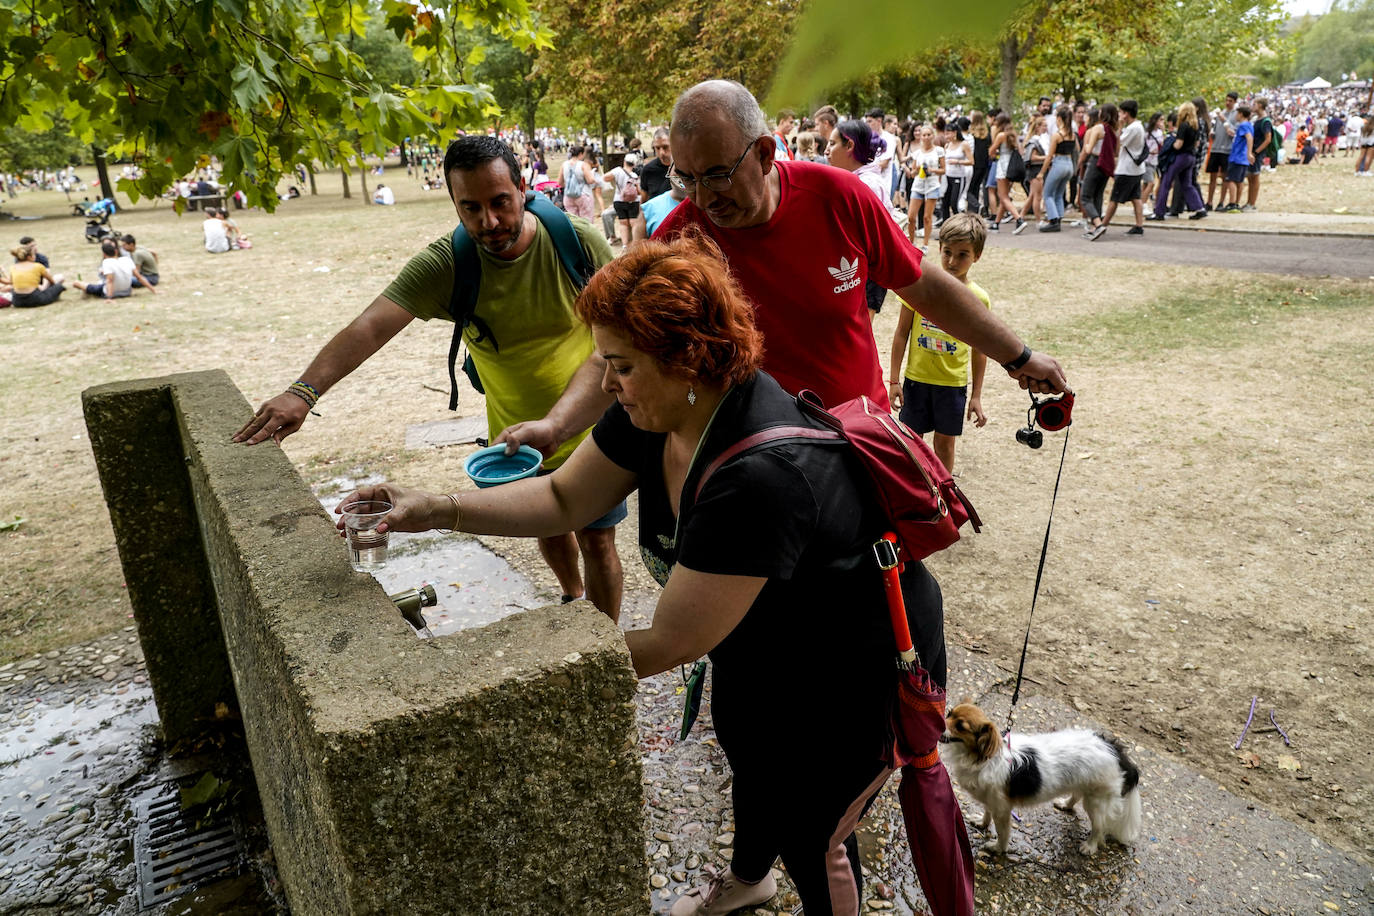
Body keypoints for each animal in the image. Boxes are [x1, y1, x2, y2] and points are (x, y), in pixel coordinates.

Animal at [939, 703, 1143, 862]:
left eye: (960, 726)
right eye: (949, 714)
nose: (938, 721)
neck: (982, 757)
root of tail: (1114, 749)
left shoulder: (1001, 808)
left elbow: (1003, 833)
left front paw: (998, 849)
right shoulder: (991, 800)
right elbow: (987, 813)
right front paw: (982, 823)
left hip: (1096, 801)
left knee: (1099, 826)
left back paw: (1090, 846)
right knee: (1076, 795)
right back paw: (1066, 804)